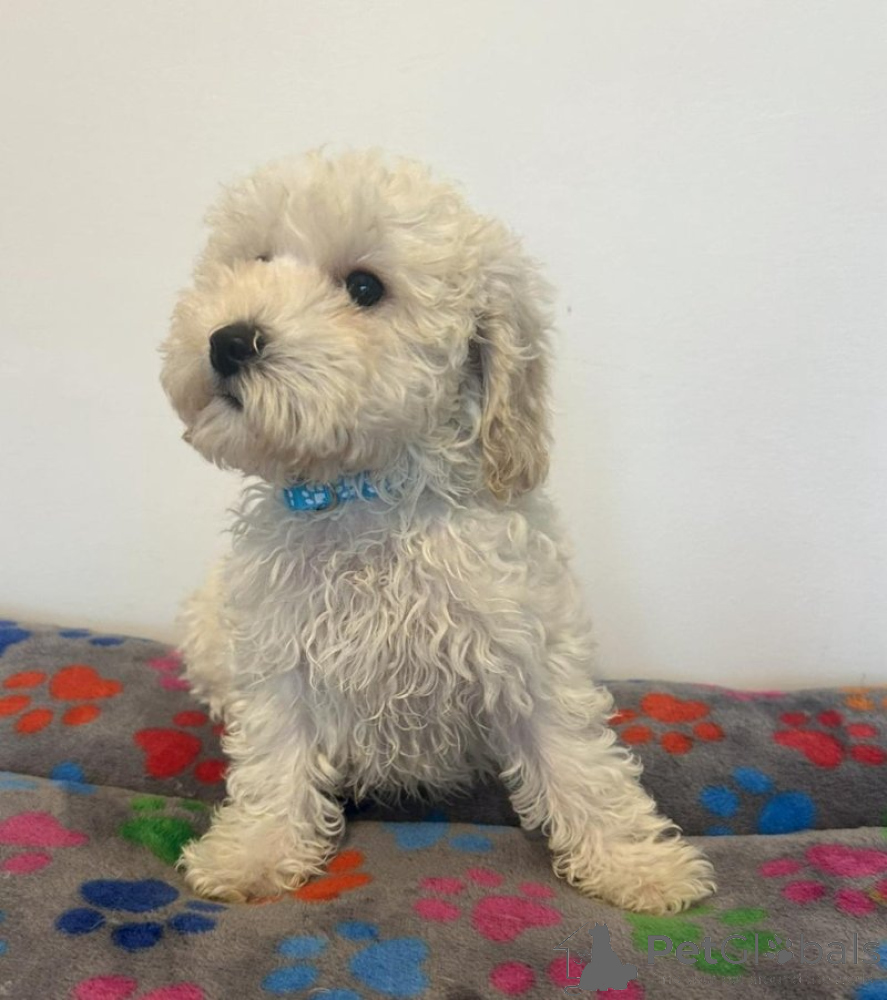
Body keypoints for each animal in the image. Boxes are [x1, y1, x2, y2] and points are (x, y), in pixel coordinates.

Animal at [160, 149, 715, 913]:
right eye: (257, 260)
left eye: (364, 287)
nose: (227, 339)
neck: (365, 493)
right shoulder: (280, 654)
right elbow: (276, 755)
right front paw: (255, 854)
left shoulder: (528, 643)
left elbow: (576, 756)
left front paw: (636, 864)